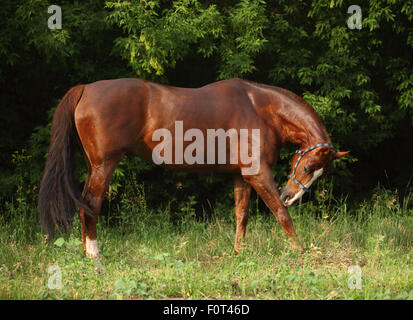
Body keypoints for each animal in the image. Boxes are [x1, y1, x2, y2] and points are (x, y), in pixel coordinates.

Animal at [39, 77, 348, 258]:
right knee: (90, 205)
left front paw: (238, 254)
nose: (290, 195)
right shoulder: (259, 174)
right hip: (104, 166)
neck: (261, 109)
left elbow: (242, 216)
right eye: (307, 166)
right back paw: (95, 256)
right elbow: (281, 214)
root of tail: (86, 89)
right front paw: (300, 252)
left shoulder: (241, 176)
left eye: (319, 173)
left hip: (94, 166)